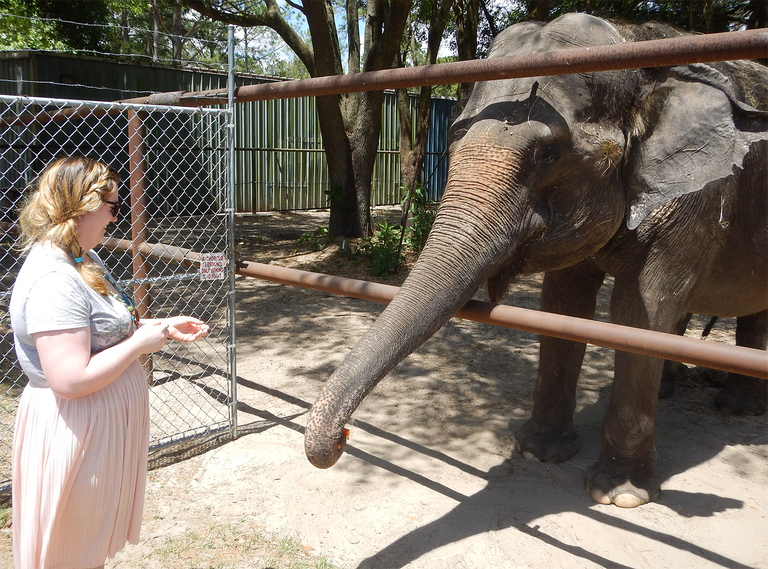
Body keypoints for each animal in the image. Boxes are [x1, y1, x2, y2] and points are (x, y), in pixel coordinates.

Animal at [304, 13, 768, 508]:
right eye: (453, 135)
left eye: (548, 154)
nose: (343, 438)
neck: (635, 43)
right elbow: (564, 305)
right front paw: (538, 452)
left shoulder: (699, 199)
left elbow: (641, 314)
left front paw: (619, 496)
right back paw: (675, 393)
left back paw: (737, 408)